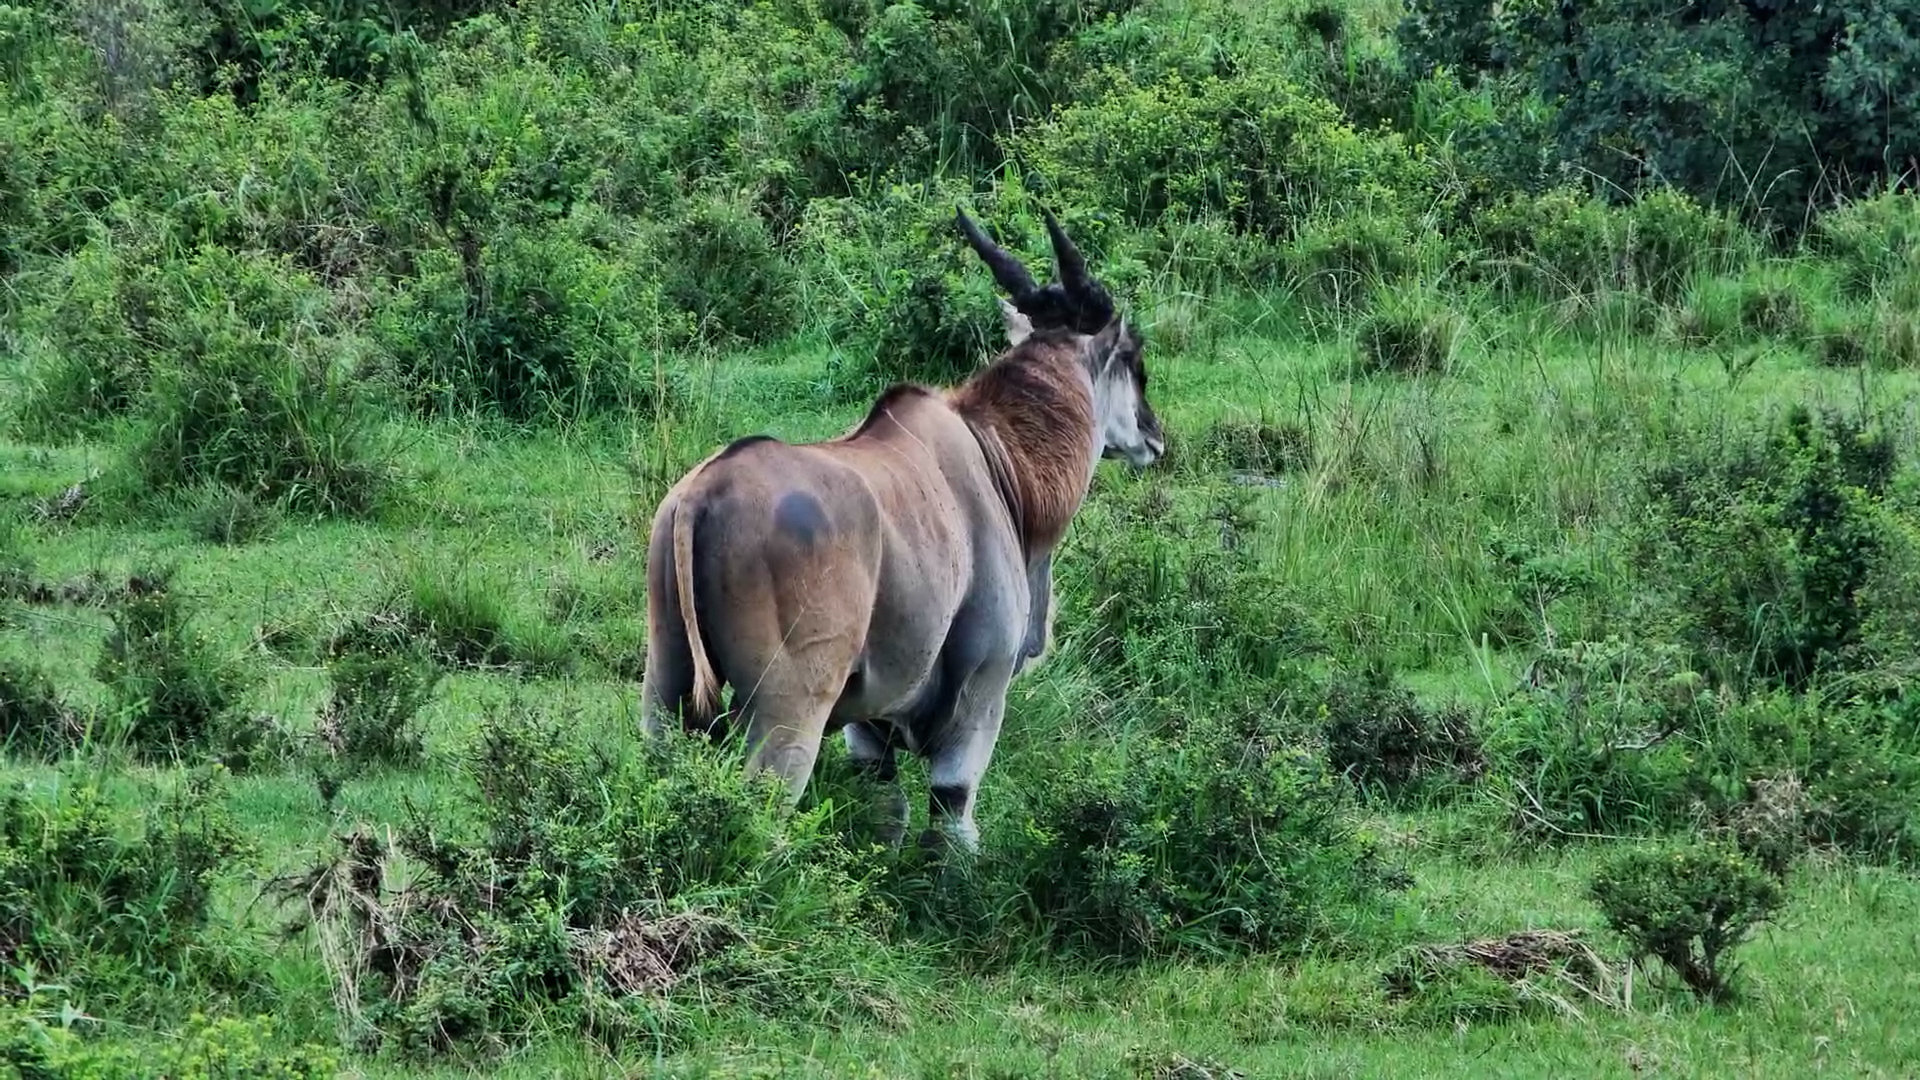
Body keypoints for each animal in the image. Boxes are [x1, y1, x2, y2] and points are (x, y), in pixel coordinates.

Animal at [639, 207, 1164, 852]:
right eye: (1134, 358)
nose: (1153, 435)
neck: (997, 458)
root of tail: (700, 497)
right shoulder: (982, 689)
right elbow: (953, 811)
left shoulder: (870, 724)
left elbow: (885, 809)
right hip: (787, 712)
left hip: (664, 691)